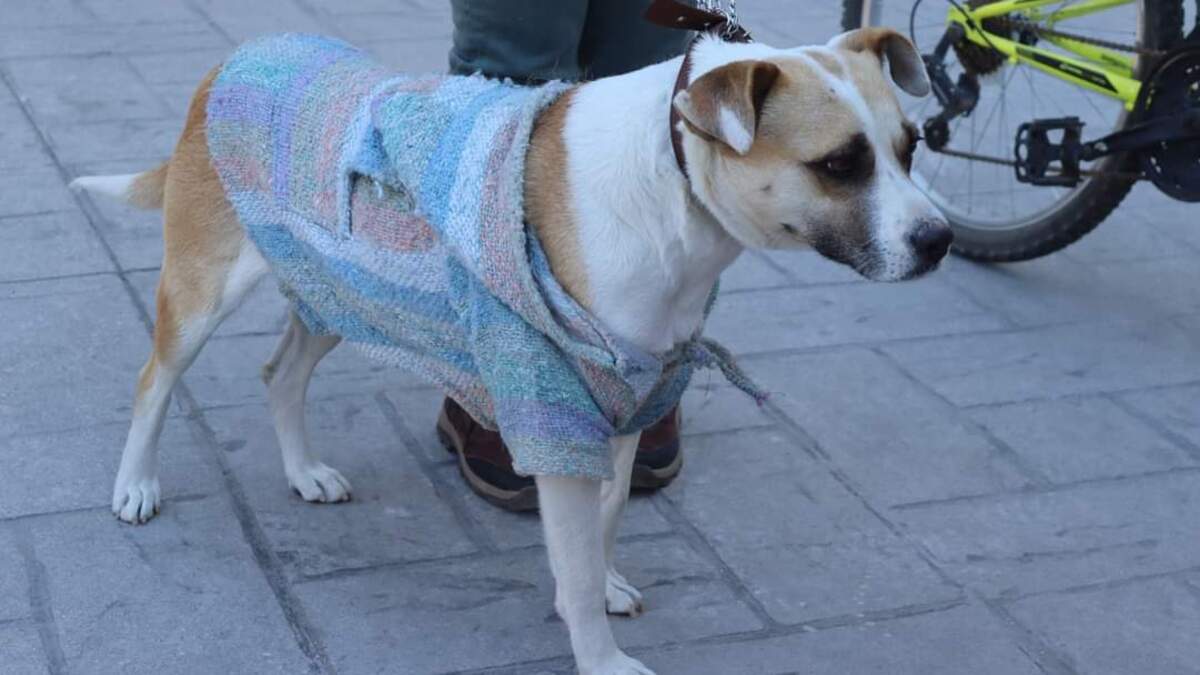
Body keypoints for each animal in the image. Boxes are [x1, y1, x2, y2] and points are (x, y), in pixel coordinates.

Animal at [75, 26, 950, 672]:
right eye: (838, 164)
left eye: (911, 147)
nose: (940, 239)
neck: (668, 188)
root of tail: (238, 57)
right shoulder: (552, 412)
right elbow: (575, 555)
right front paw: (601, 654)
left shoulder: (629, 401)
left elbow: (603, 526)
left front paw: (603, 584)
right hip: (205, 286)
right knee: (154, 379)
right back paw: (135, 485)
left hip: (343, 286)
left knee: (280, 371)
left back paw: (303, 471)